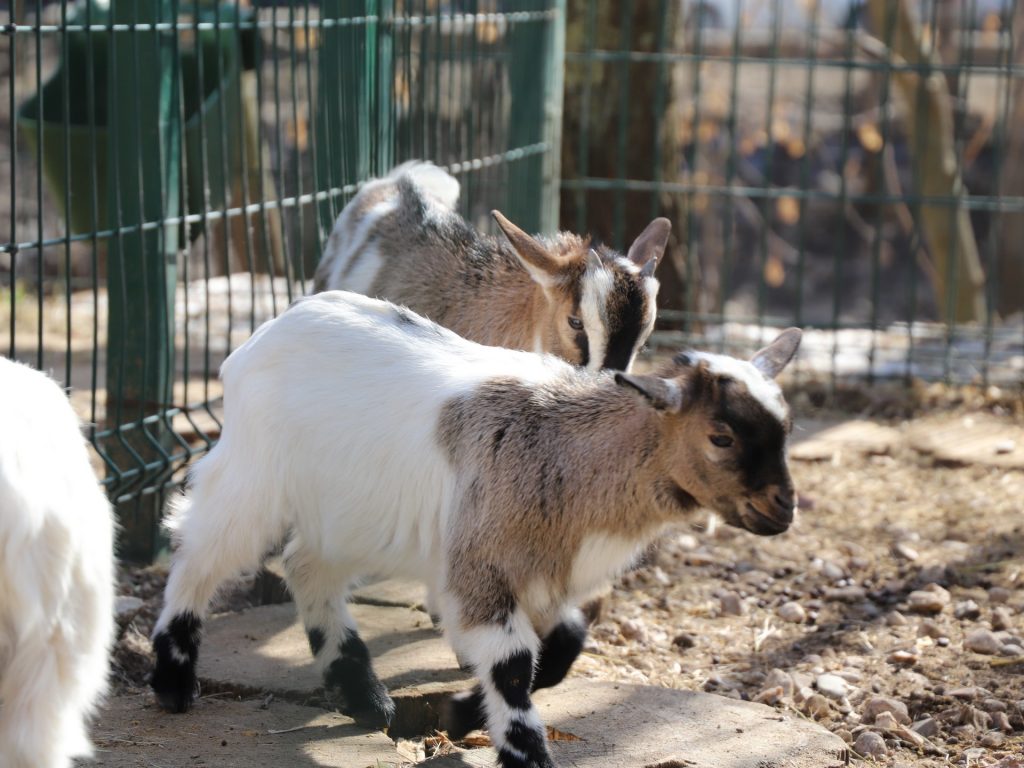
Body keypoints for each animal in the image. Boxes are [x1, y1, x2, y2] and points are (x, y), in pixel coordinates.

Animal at [151, 292, 801, 768]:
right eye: (721, 436)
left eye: (787, 426)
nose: (783, 509)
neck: (566, 446)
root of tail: (267, 331)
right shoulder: (481, 559)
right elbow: (515, 662)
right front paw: (524, 753)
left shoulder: (532, 570)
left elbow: (560, 648)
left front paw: (463, 713)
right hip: (255, 476)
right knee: (199, 548)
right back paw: (174, 677)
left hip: (349, 512)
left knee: (308, 565)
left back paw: (362, 693)